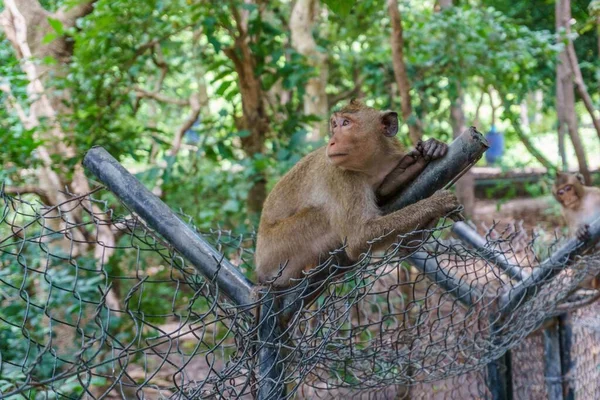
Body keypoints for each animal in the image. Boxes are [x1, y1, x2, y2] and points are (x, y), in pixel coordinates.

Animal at [254, 100, 460, 288]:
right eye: (334, 125)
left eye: (346, 123)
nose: (332, 141)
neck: (373, 165)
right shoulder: (341, 175)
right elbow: (359, 237)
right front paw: (436, 204)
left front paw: (427, 151)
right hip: (278, 249)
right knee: (323, 215)